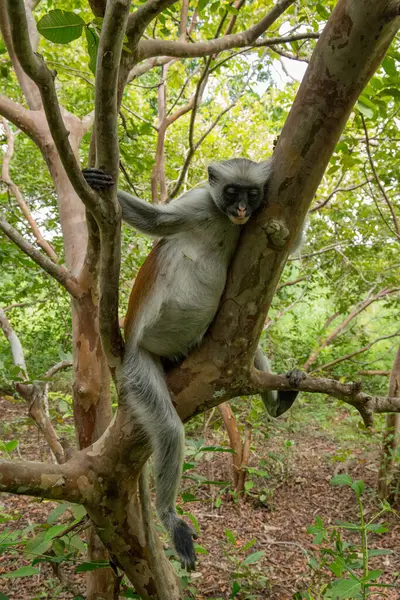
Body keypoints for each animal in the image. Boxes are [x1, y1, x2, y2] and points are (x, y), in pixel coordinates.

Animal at [83, 159, 304, 572]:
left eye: (251, 194)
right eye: (231, 192)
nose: (241, 209)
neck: (221, 219)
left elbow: (288, 238)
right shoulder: (201, 202)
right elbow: (156, 220)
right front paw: (94, 182)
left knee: (247, 347)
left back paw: (280, 401)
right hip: (138, 367)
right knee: (169, 431)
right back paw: (168, 516)